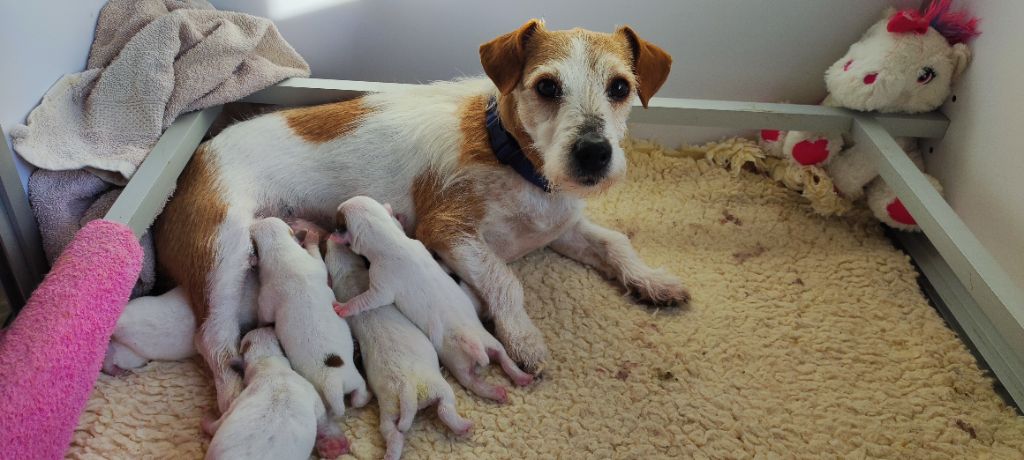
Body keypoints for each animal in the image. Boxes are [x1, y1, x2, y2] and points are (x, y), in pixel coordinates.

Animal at [249, 215, 370, 420]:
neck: (281, 249)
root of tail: (334, 383)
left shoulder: (266, 300)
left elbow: (263, 317)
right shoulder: (315, 264)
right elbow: (317, 258)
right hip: (354, 379)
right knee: (359, 395)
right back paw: (364, 397)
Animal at [325, 234, 473, 456]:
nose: (329, 236)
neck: (348, 272)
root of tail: (406, 390)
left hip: (390, 407)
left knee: (394, 431)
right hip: (434, 387)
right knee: (446, 406)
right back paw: (464, 426)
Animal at [335, 195, 536, 399]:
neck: (390, 238)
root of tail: (473, 341)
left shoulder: (383, 280)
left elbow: (370, 299)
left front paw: (343, 307)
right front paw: (399, 218)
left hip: (457, 361)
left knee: (471, 381)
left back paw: (498, 390)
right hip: (490, 342)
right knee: (502, 357)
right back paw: (517, 379)